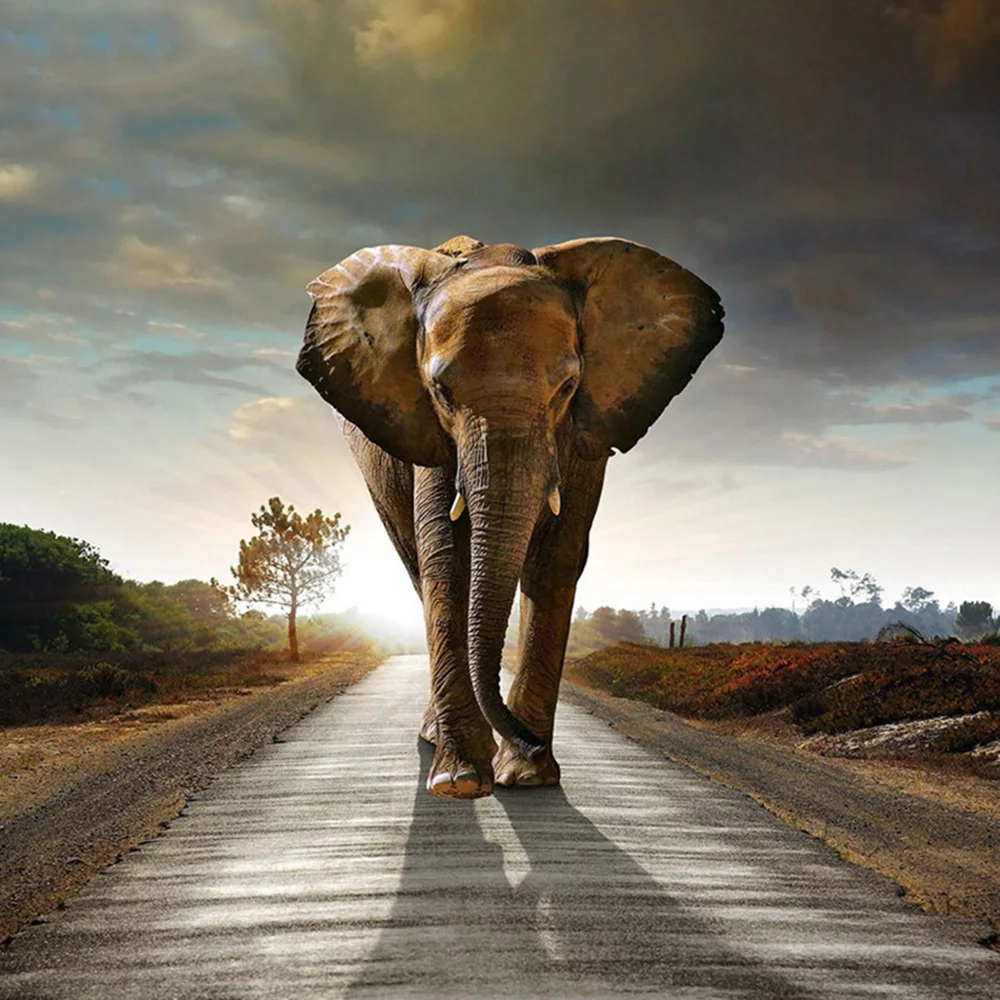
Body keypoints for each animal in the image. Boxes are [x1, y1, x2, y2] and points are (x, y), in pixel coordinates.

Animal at [296, 234, 723, 799]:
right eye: (441, 392)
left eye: (567, 388)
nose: (530, 741)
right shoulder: (430, 435)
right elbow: (447, 559)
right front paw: (460, 781)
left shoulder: (585, 431)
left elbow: (556, 558)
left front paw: (527, 776)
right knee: (416, 567)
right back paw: (437, 740)